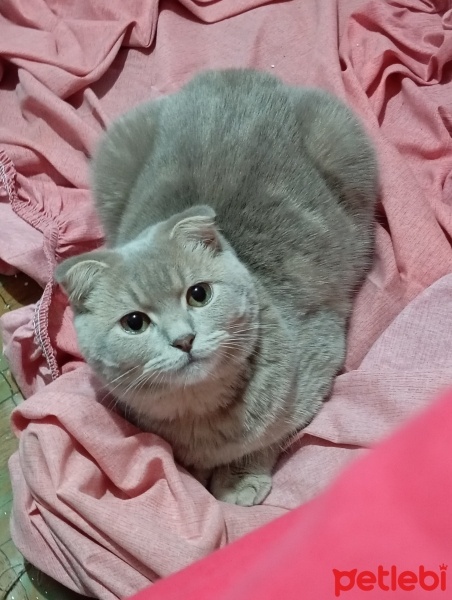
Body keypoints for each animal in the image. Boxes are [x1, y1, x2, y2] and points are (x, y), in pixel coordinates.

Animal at [54, 67, 376, 506]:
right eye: (134, 322)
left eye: (199, 294)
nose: (184, 339)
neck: (200, 412)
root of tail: (231, 75)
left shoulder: (318, 362)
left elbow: (267, 437)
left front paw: (239, 479)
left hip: (343, 141)